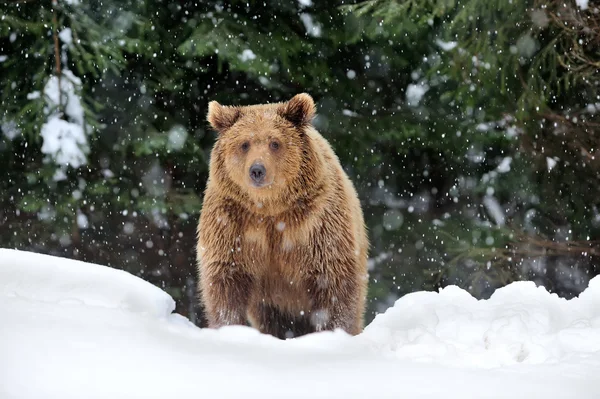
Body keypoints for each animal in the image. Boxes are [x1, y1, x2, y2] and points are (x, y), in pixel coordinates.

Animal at [197, 94, 368, 340]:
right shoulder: (233, 223)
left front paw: (332, 331)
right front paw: (230, 328)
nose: (257, 170)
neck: (269, 209)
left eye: (275, 142)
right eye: (244, 144)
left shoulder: (316, 223)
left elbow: (333, 282)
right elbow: (226, 281)